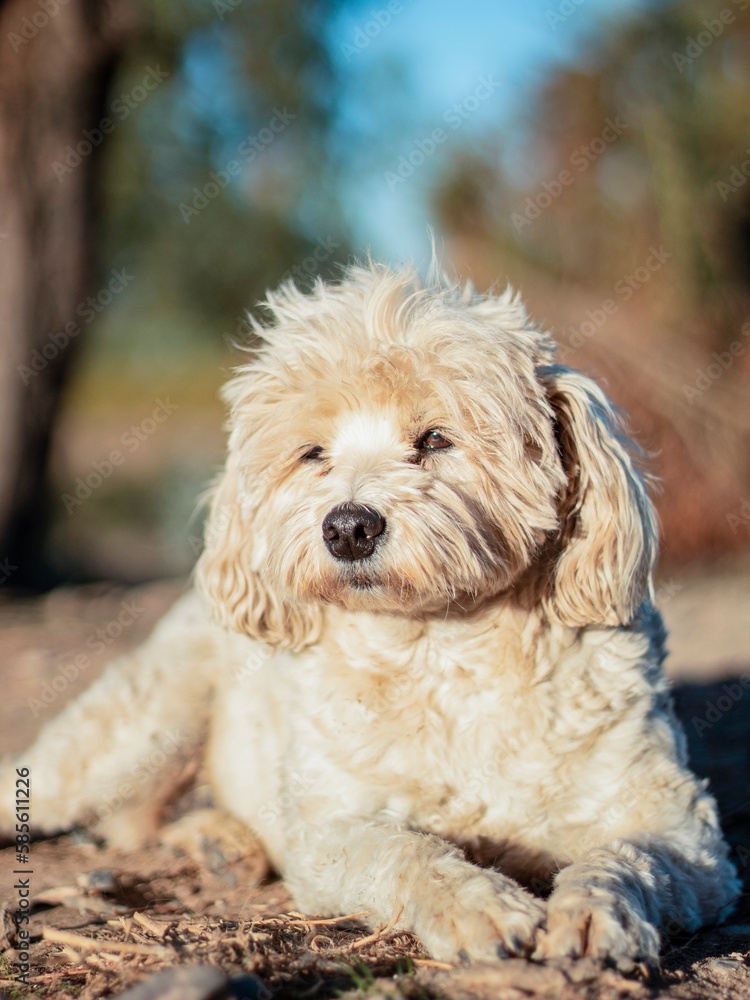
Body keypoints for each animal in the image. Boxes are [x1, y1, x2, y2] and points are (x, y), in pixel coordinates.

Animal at [0, 262, 740, 964]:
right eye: (313, 454)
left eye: (436, 439)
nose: (348, 527)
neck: (446, 647)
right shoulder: (335, 827)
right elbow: (408, 852)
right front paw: (480, 907)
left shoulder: (681, 832)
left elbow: (626, 860)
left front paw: (594, 914)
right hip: (140, 727)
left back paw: (219, 843)